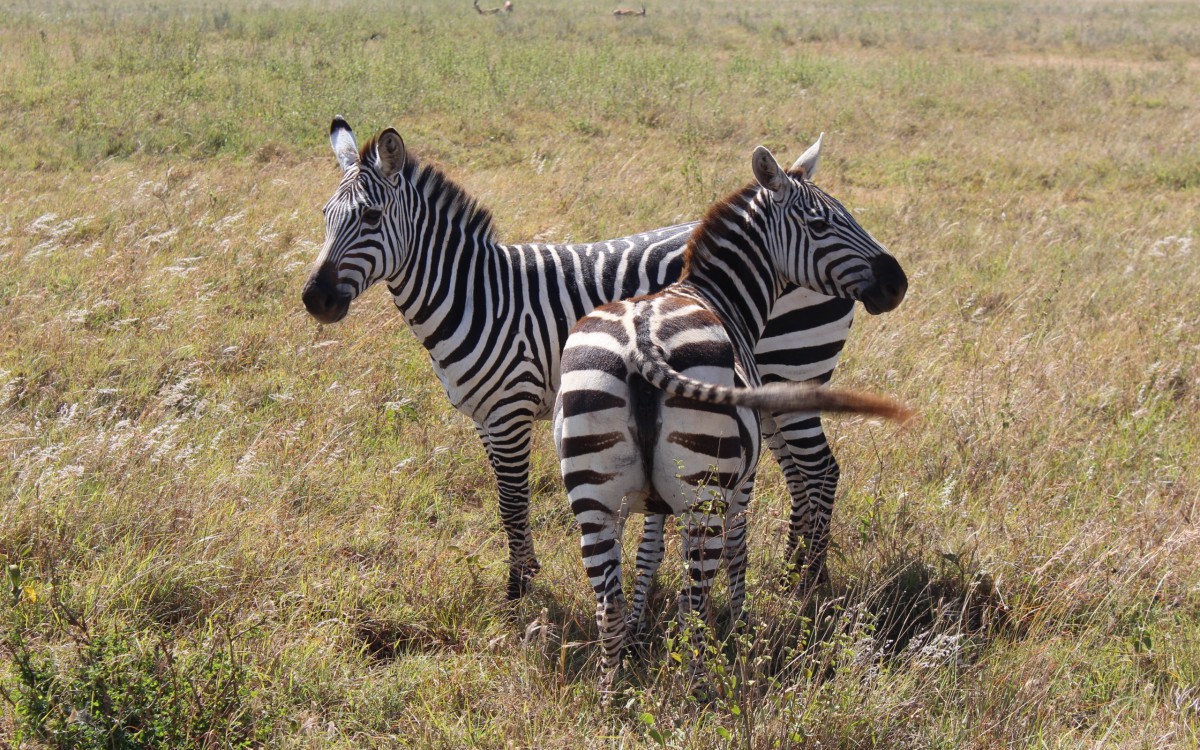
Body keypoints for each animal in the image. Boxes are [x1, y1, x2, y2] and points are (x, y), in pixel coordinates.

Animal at [302, 115, 907, 597]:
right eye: (327, 216)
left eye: (371, 218)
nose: (315, 299)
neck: (477, 293)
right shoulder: (484, 417)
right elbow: (507, 501)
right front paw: (526, 578)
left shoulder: (510, 411)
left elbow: (512, 502)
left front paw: (519, 593)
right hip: (767, 387)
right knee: (803, 474)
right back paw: (793, 571)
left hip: (793, 363)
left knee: (820, 470)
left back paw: (809, 581)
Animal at [552, 139, 907, 691]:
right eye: (821, 224)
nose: (898, 283)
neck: (717, 296)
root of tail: (640, 344)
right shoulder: (743, 482)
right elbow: (739, 550)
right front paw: (740, 623)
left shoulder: (656, 499)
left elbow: (647, 552)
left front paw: (637, 633)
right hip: (705, 494)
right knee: (692, 601)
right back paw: (700, 685)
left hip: (591, 494)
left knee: (606, 605)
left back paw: (612, 693)